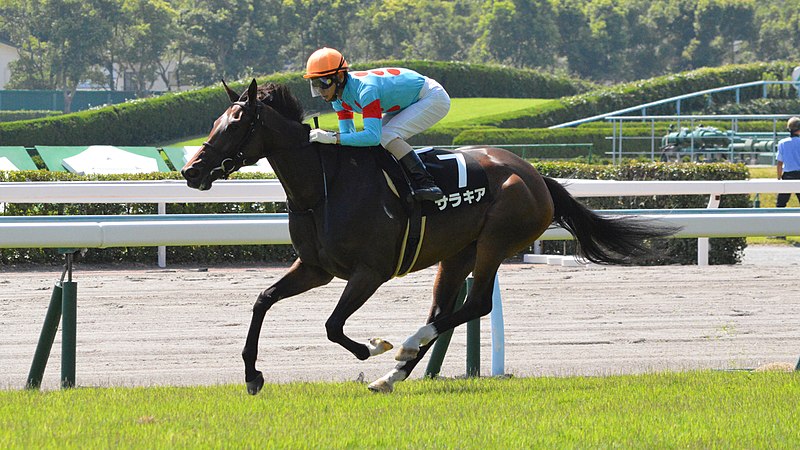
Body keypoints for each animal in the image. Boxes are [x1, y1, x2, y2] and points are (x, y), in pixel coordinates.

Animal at [181, 80, 676, 394]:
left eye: (235, 124)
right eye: (216, 120)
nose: (191, 171)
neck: (324, 186)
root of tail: (536, 174)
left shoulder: (370, 272)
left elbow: (333, 325)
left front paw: (374, 346)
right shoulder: (316, 268)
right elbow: (263, 300)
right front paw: (252, 375)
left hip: (496, 240)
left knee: (476, 304)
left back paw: (402, 346)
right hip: (457, 253)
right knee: (443, 310)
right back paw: (392, 375)